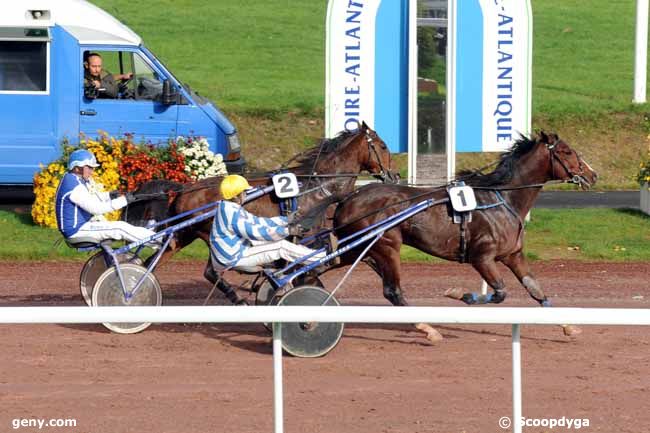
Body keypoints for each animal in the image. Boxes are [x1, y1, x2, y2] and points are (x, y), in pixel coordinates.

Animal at [124, 121, 392, 302]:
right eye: (382, 146)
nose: (393, 175)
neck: (318, 188)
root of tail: (185, 188)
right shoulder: (309, 236)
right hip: (210, 234)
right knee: (210, 271)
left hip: (184, 235)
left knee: (153, 261)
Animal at [332, 131, 596, 340]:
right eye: (566, 151)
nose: (593, 175)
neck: (504, 199)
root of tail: (348, 199)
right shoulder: (482, 257)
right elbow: (500, 292)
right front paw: (460, 294)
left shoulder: (513, 255)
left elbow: (535, 289)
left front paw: (568, 326)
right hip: (386, 246)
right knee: (392, 291)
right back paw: (427, 328)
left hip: (359, 249)